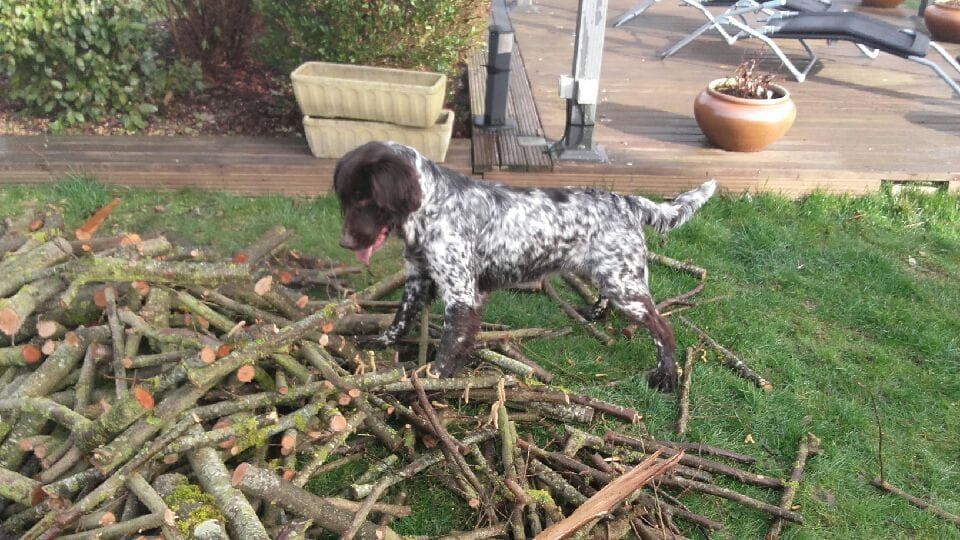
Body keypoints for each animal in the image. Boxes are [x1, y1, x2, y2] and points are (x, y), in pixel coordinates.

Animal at [334, 141, 716, 390]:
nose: (346, 244)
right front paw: (378, 343)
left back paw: (666, 377)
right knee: (609, 300)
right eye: (344, 199)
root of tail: (625, 201)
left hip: (624, 286)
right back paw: (593, 314)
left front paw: (435, 379)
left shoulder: (462, 294)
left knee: (663, 329)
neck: (435, 205)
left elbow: (451, 343)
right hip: (608, 275)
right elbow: (400, 320)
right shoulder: (418, 279)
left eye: (365, 199)